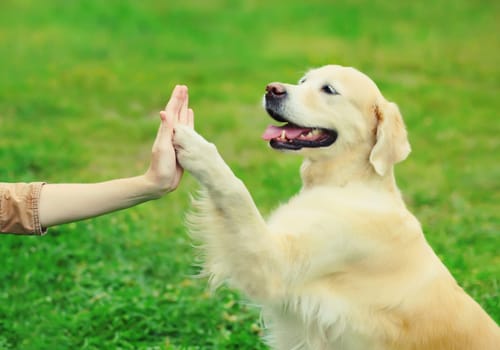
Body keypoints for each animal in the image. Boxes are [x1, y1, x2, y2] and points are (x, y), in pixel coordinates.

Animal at [173, 65, 500, 348]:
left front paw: (196, 146)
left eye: (329, 89)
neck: (345, 182)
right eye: (303, 81)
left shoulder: (275, 266)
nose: (272, 89)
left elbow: (235, 190)